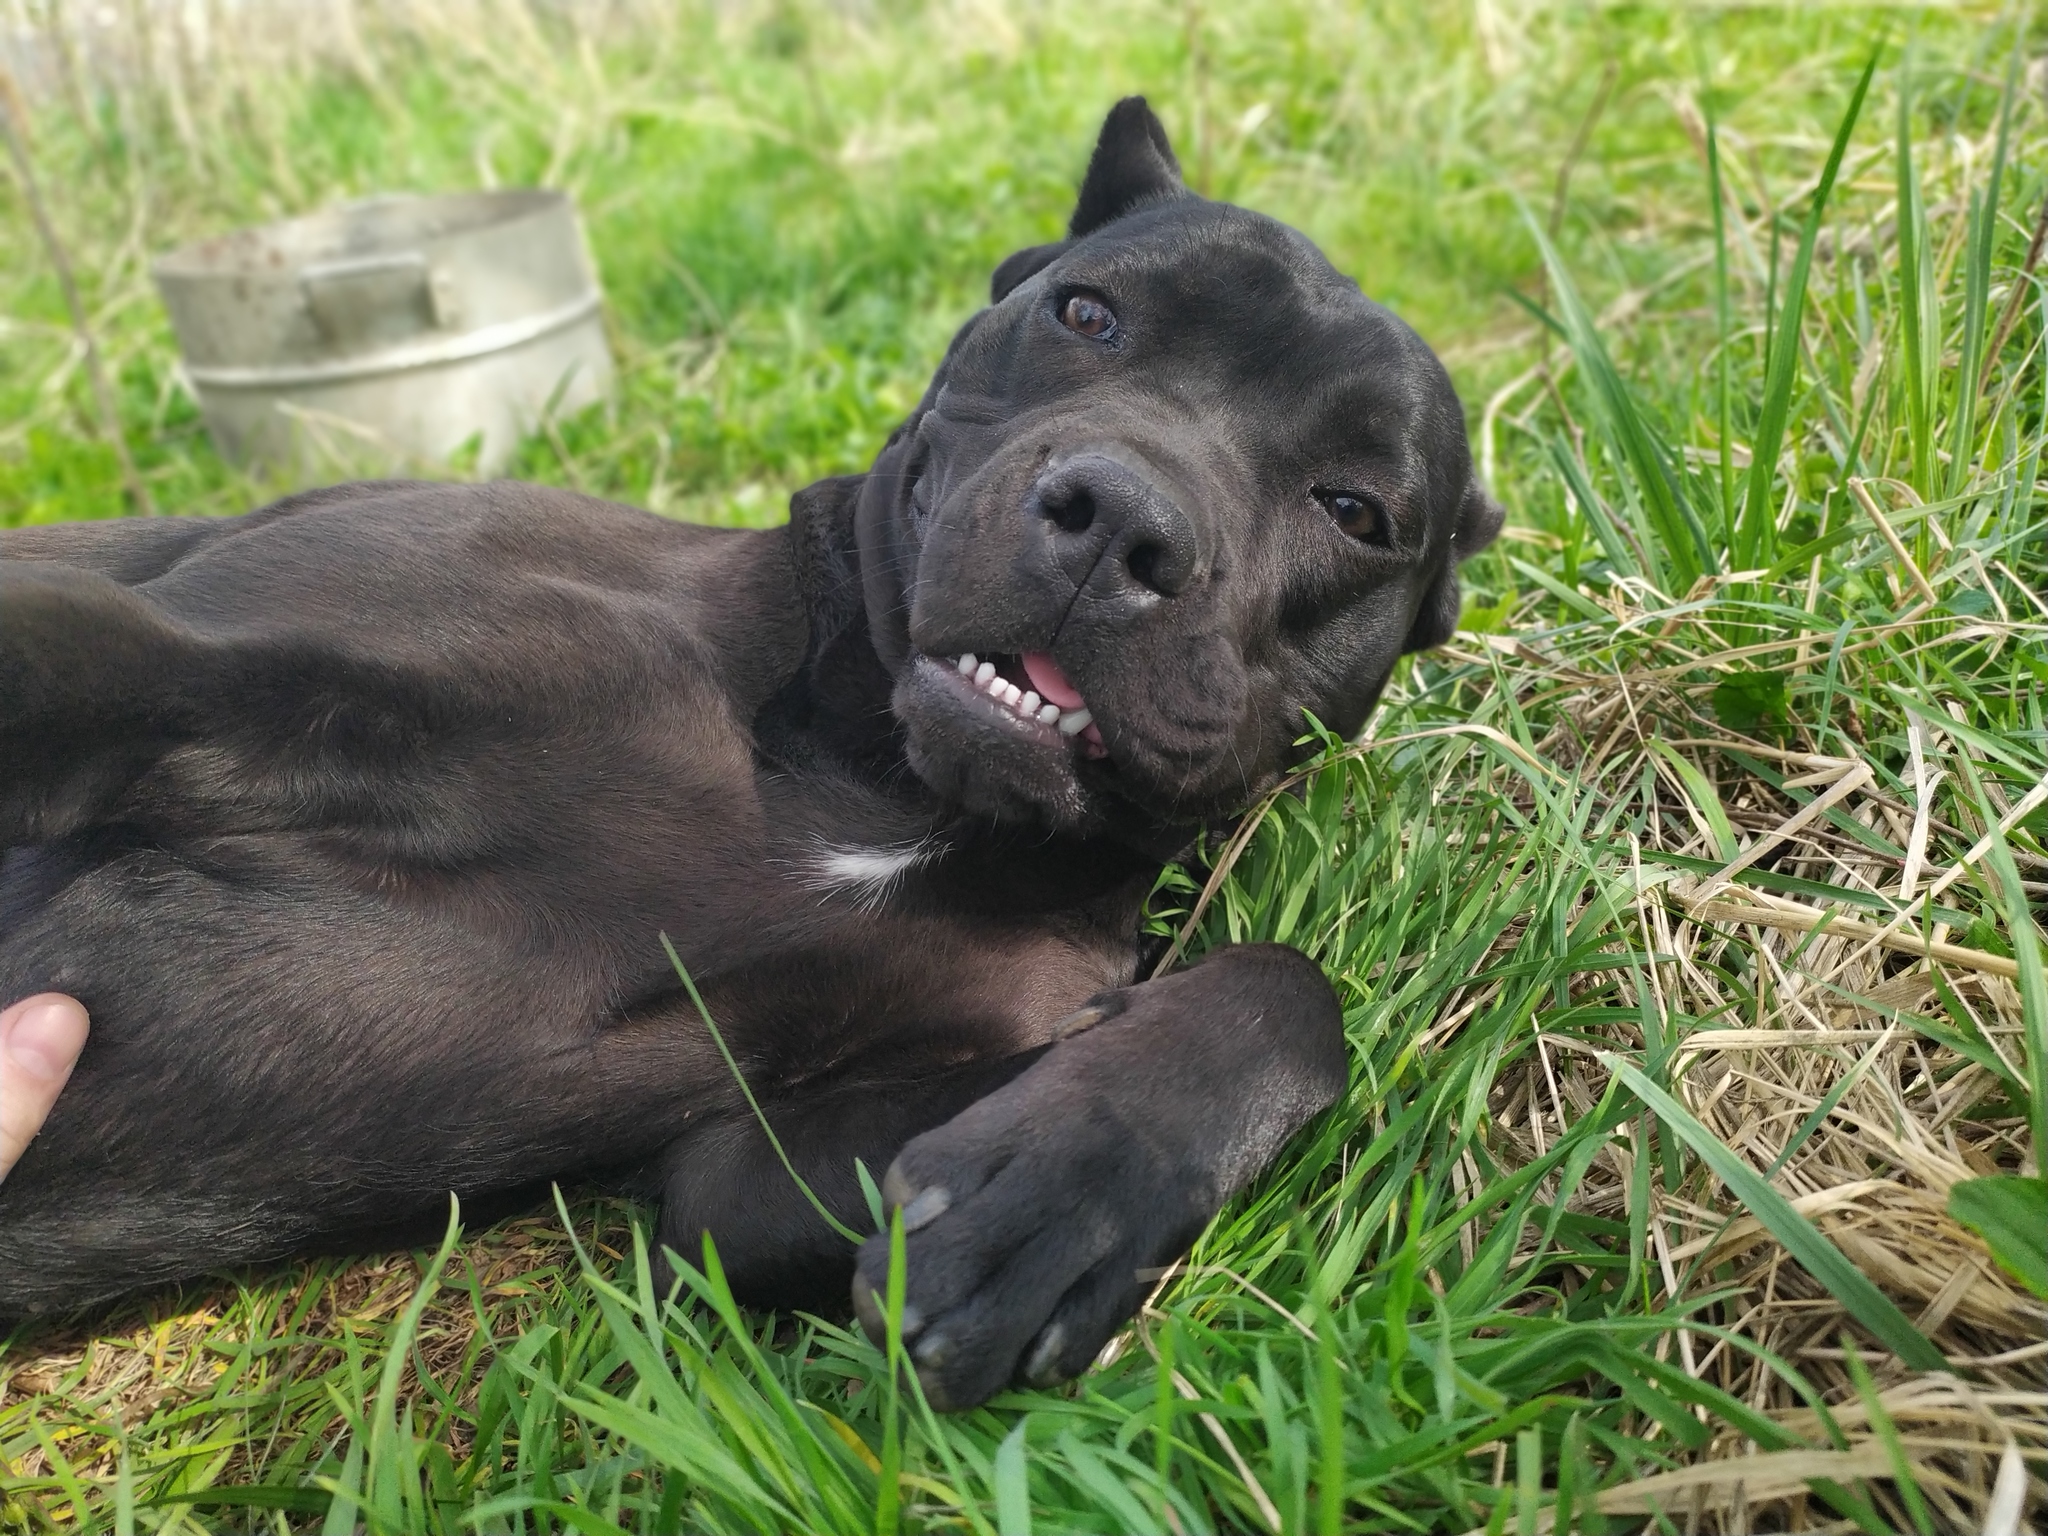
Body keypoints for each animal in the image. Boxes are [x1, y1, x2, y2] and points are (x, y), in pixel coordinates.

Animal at [0, 102, 1507, 1417]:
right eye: (1087, 315)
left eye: (1356, 511)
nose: (1122, 520)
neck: (874, 775)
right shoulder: (203, 665)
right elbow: (71, 650)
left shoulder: (754, 1166)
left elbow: (1291, 992)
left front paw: (1067, 1187)